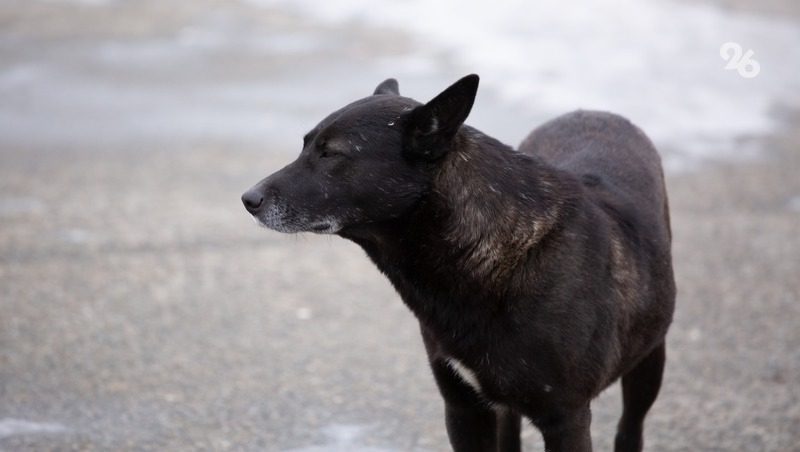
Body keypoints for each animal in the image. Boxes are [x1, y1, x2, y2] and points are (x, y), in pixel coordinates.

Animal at [242, 76, 676, 450]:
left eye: (331, 153)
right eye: (305, 146)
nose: (249, 199)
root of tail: (594, 112)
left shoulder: (566, 419)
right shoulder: (464, 409)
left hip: (649, 364)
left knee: (630, 427)